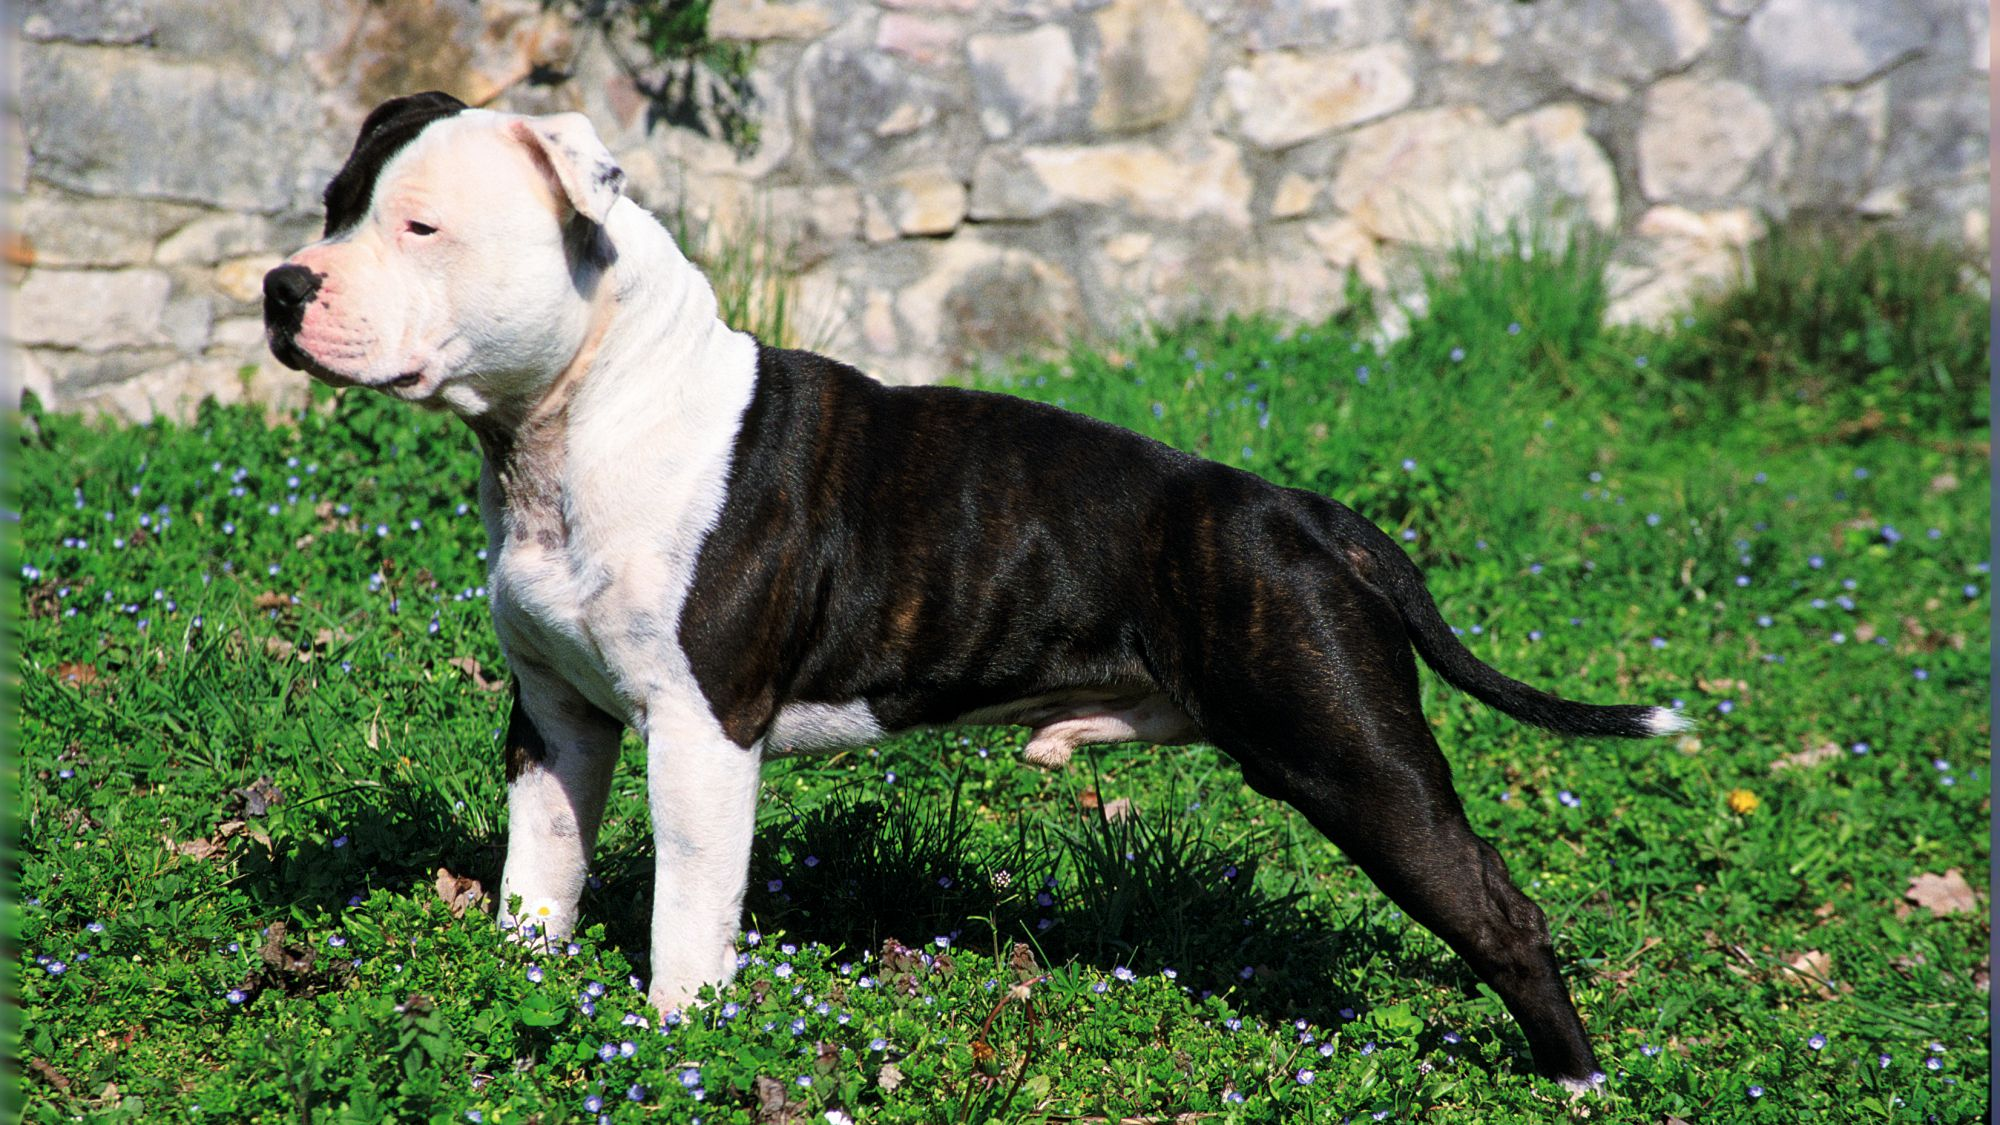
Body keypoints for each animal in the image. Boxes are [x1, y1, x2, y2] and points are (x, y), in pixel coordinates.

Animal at [262, 98, 1688, 1088]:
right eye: (330, 207)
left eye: (421, 226)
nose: (282, 285)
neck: (581, 414)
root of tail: (1301, 513)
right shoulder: (559, 722)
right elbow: (539, 876)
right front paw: (509, 983)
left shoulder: (700, 733)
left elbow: (688, 918)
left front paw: (679, 1044)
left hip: (1351, 755)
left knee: (1499, 910)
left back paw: (1576, 1082)